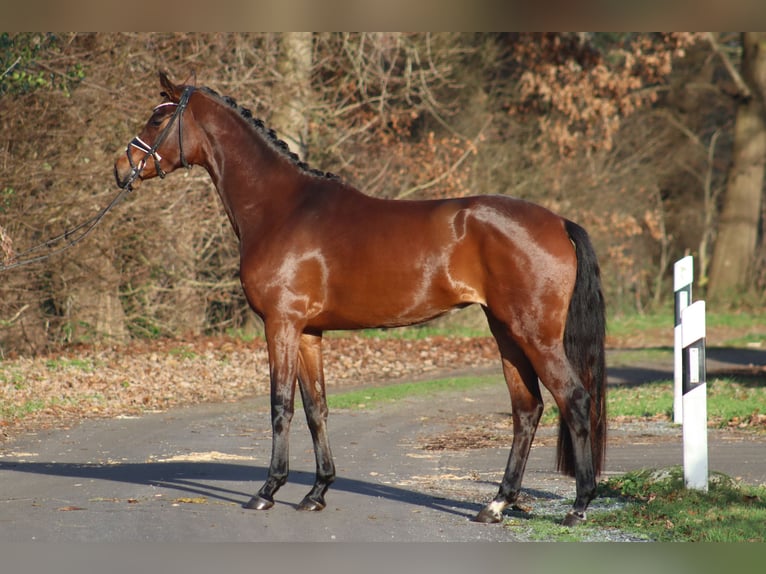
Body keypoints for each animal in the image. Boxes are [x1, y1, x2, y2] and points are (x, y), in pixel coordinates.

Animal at [115, 71, 608, 528]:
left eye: (158, 117)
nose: (122, 168)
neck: (281, 209)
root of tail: (559, 223)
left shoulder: (281, 324)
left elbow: (280, 406)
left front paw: (268, 490)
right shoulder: (308, 332)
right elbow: (316, 409)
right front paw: (316, 492)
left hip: (534, 334)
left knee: (573, 399)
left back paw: (579, 506)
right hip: (505, 331)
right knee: (527, 409)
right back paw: (496, 504)